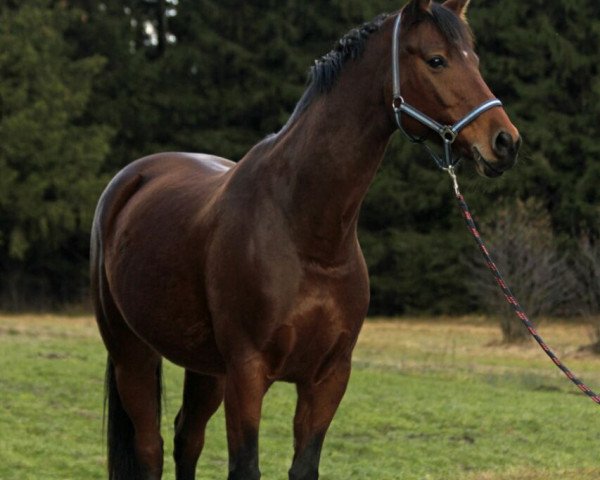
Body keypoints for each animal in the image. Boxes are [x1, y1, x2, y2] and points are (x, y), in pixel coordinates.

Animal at [90, 0, 520, 480]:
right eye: (436, 60)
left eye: (475, 60)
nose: (505, 141)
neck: (306, 234)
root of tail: (132, 180)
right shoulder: (247, 374)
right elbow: (245, 466)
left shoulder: (327, 378)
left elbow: (304, 465)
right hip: (132, 352)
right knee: (150, 447)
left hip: (205, 366)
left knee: (188, 438)